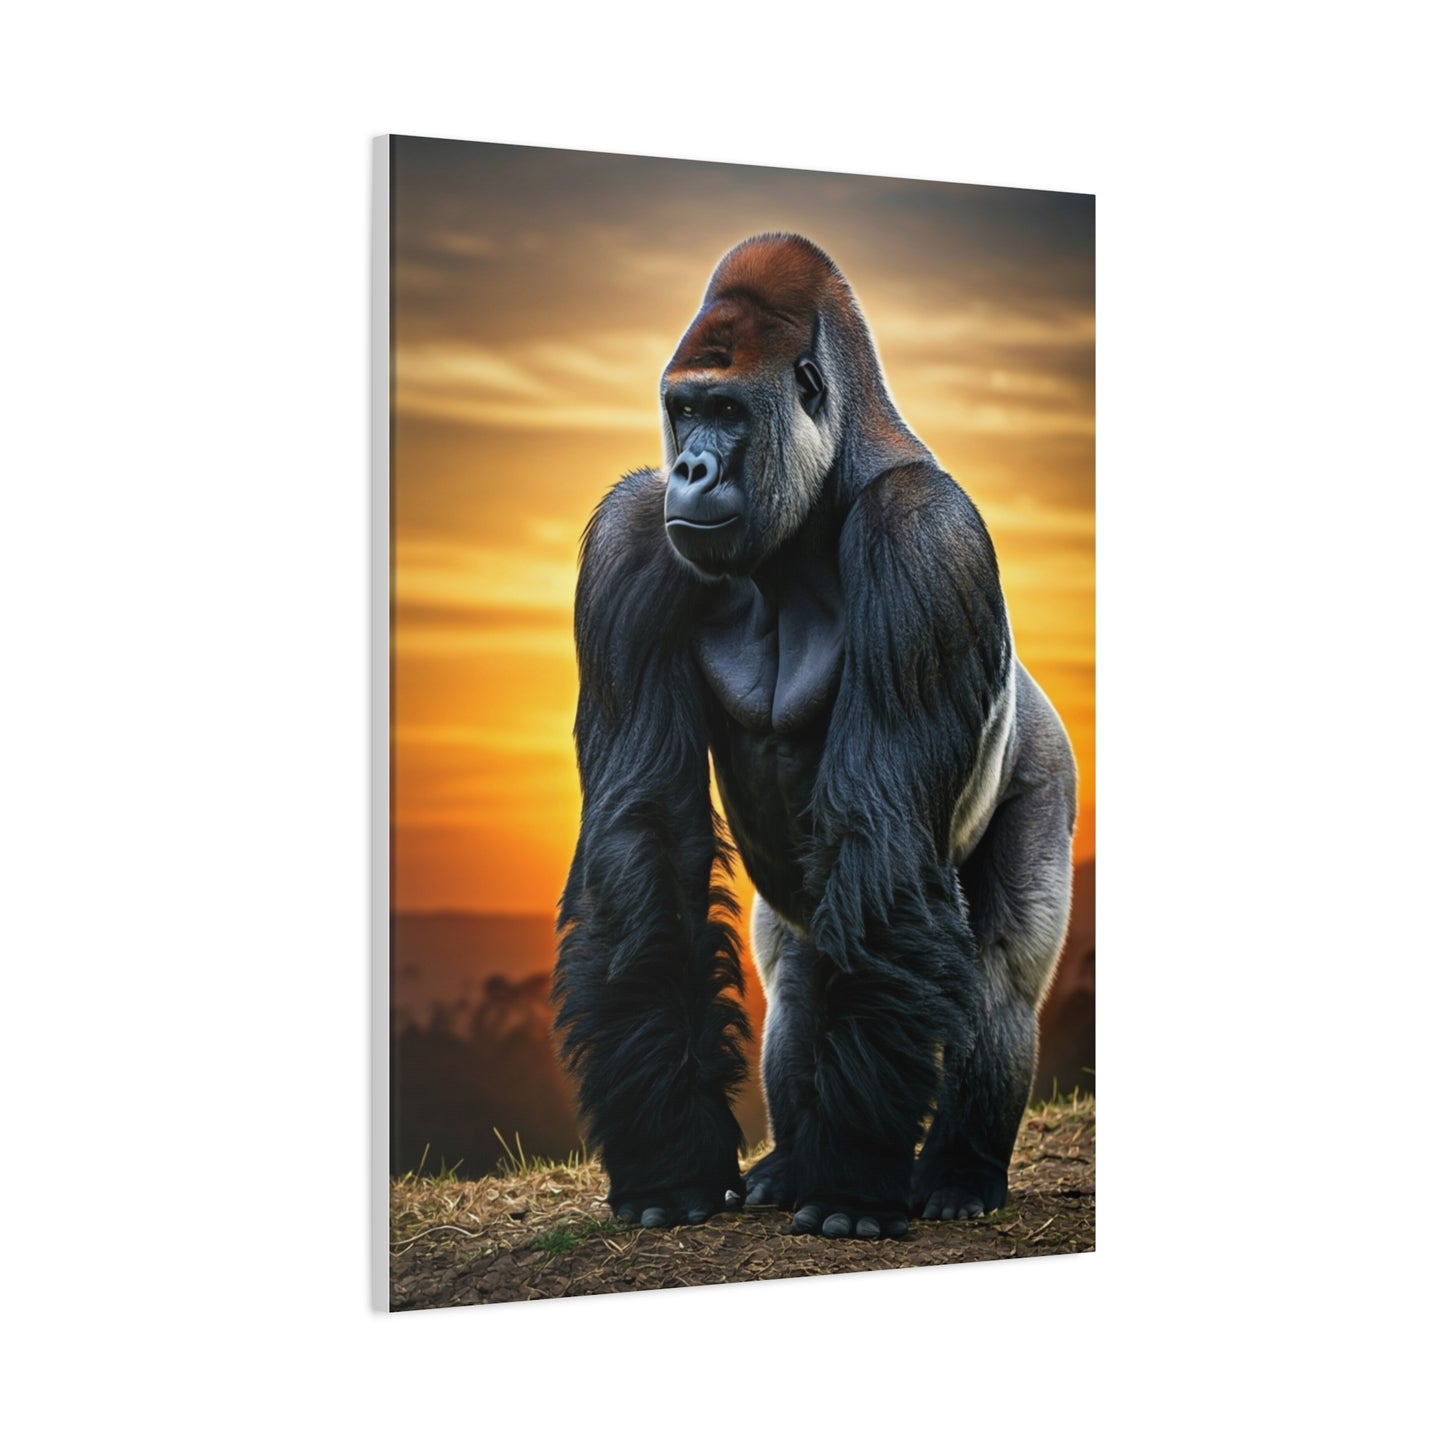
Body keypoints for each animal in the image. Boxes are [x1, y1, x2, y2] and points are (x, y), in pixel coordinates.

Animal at [553, 234, 1076, 1239]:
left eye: (727, 411)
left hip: (1048, 770)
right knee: (800, 976)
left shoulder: (923, 541)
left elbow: (882, 840)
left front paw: (851, 1184)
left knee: (997, 970)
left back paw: (954, 1170)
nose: (692, 471)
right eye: (683, 410)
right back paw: (790, 1162)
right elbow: (645, 837)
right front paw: (672, 1158)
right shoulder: (632, 538)